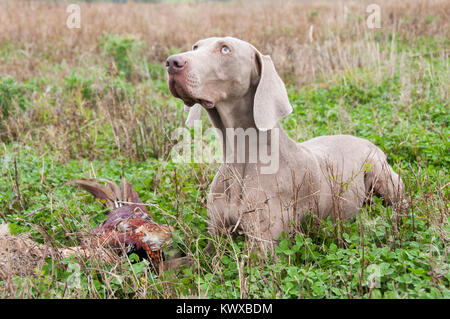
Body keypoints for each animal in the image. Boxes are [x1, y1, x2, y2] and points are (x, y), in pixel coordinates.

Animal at [167, 37, 406, 252]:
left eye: (225, 49)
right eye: (195, 47)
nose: (171, 62)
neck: (240, 157)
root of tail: (366, 141)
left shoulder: (263, 246)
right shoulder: (214, 238)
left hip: (382, 177)